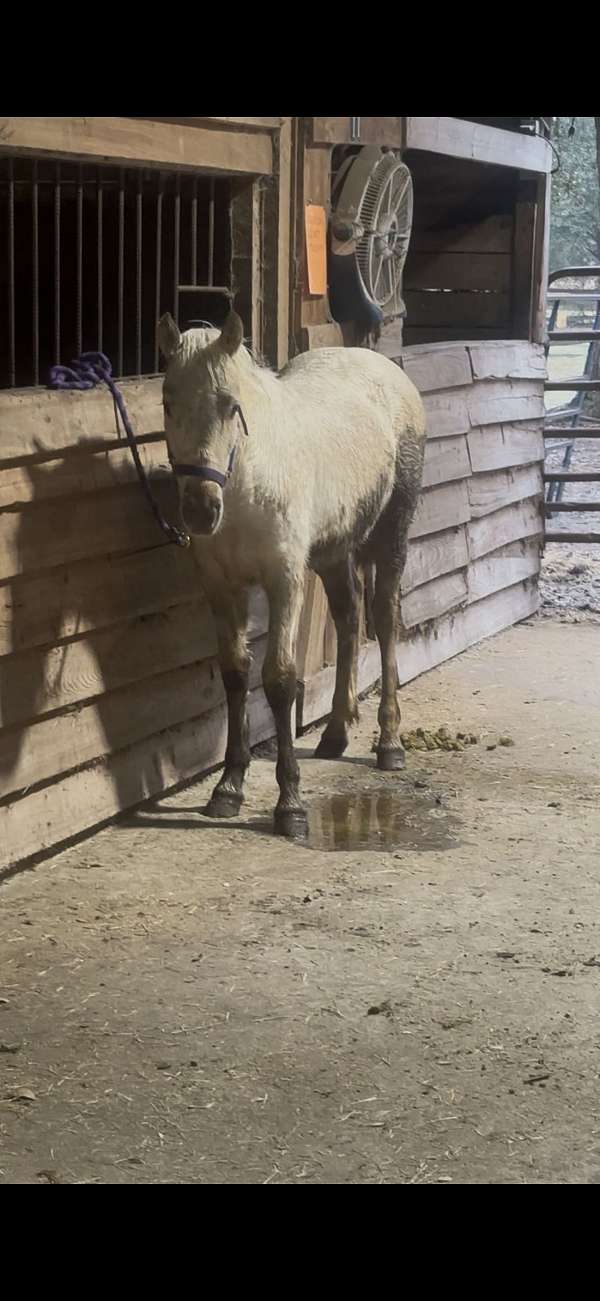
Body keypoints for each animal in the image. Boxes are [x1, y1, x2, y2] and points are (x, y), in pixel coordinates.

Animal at [157, 309, 426, 837]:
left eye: (231, 406)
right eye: (167, 402)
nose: (200, 510)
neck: (248, 485)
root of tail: (387, 370)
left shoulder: (285, 581)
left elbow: (280, 680)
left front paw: (290, 804)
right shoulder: (222, 587)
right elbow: (235, 673)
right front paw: (228, 788)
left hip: (391, 537)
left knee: (385, 623)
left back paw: (389, 743)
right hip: (333, 553)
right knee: (348, 619)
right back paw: (336, 734)